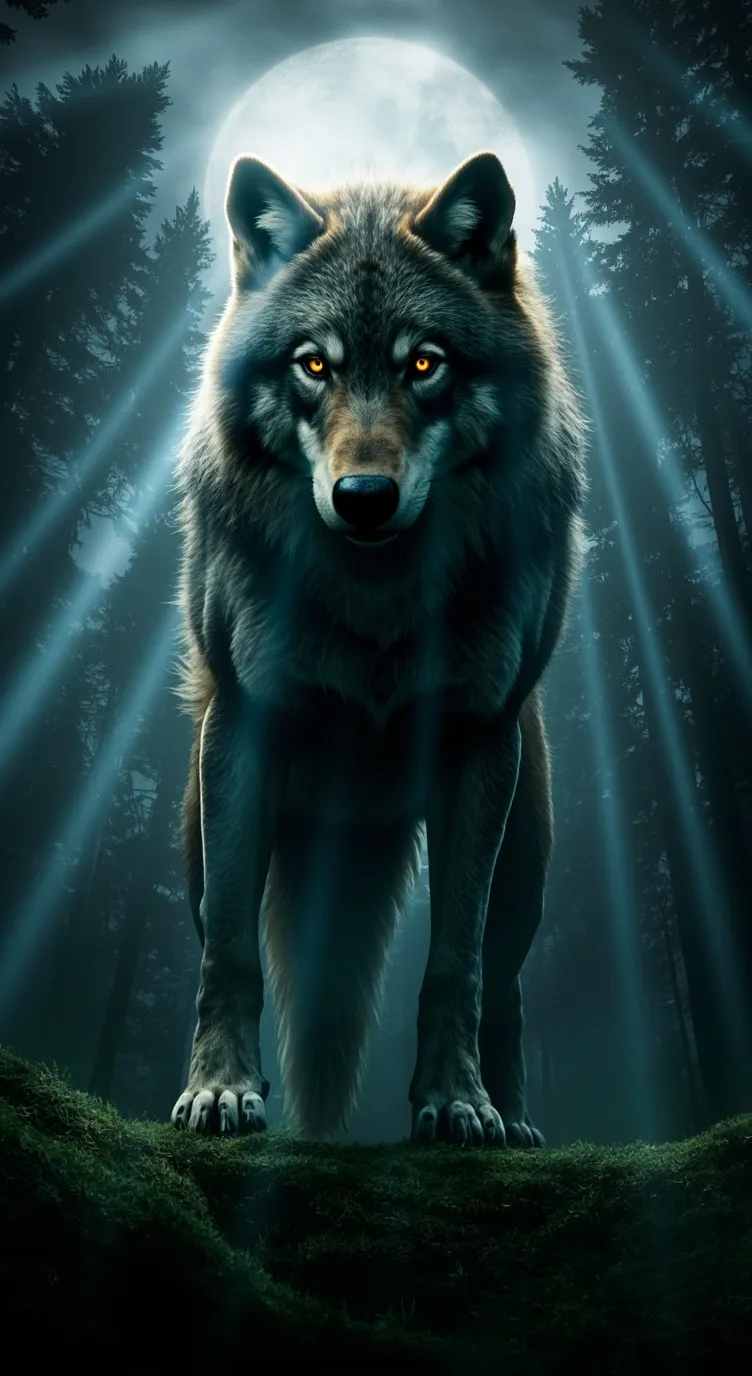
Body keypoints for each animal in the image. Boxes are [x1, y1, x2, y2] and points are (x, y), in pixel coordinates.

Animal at [170, 149, 586, 1146]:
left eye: (424, 363)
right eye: (314, 364)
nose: (363, 498)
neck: (377, 597)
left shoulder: (476, 739)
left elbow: (455, 965)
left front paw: (457, 1103)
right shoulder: (246, 726)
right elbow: (230, 955)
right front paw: (219, 1092)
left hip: (529, 854)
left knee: (505, 982)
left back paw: (515, 1121)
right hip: (196, 830)